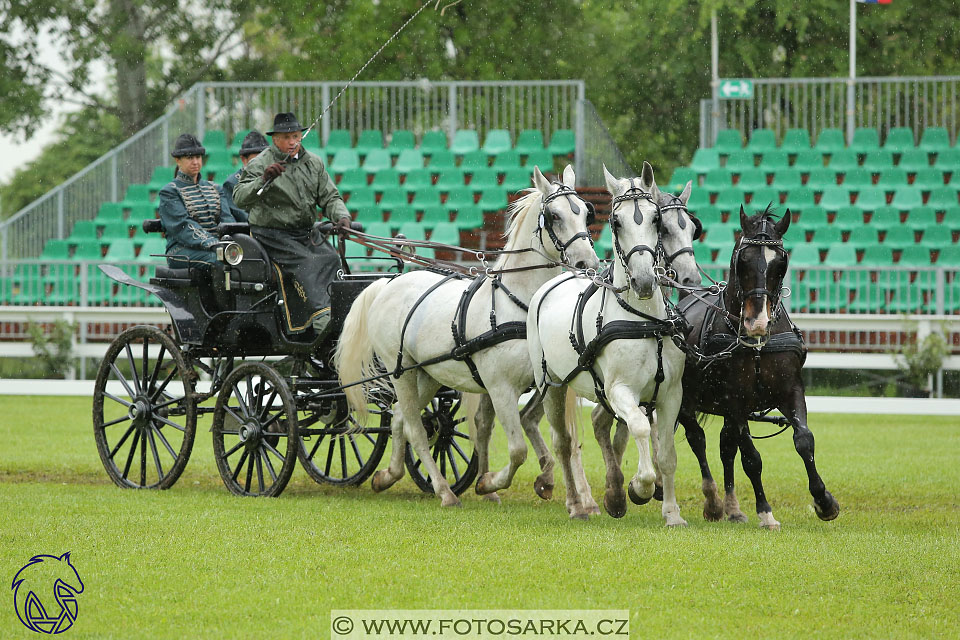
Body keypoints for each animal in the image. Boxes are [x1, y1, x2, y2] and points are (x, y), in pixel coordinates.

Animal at [334, 168, 596, 508]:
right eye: (554, 215)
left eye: (586, 213)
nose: (587, 264)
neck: (521, 305)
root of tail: (388, 283)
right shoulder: (500, 387)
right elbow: (517, 449)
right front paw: (488, 483)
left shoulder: (547, 382)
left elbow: (554, 435)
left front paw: (549, 482)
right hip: (400, 372)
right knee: (416, 430)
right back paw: (445, 492)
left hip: (427, 374)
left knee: (400, 419)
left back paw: (388, 476)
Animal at [524, 161, 688, 524]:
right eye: (616, 222)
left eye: (656, 219)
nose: (644, 281)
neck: (645, 322)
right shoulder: (619, 391)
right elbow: (640, 427)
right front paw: (639, 486)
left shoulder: (671, 393)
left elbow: (668, 453)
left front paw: (672, 512)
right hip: (551, 386)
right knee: (563, 442)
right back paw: (577, 504)